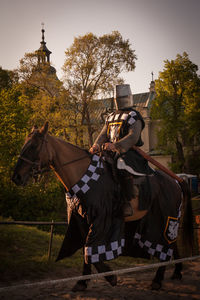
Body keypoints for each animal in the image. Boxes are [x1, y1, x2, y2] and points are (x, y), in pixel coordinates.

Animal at [12, 122, 194, 290]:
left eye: (34, 146)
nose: (16, 177)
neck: (83, 176)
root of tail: (176, 181)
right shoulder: (81, 220)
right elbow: (85, 248)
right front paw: (82, 282)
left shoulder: (101, 219)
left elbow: (90, 247)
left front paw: (110, 276)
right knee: (171, 244)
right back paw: (177, 271)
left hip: (165, 218)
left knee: (166, 246)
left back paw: (157, 280)